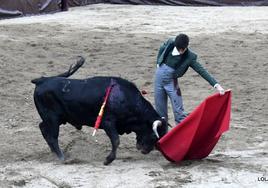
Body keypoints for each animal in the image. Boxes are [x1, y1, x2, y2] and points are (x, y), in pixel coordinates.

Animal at [31, 57, 168, 164]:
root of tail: (42, 80)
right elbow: (116, 140)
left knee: (42, 128)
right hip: (52, 118)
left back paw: (54, 153)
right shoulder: (108, 122)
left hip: (56, 118)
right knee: (52, 136)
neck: (125, 97)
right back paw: (61, 157)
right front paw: (108, 160)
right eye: (154, 135)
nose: (146, 150)